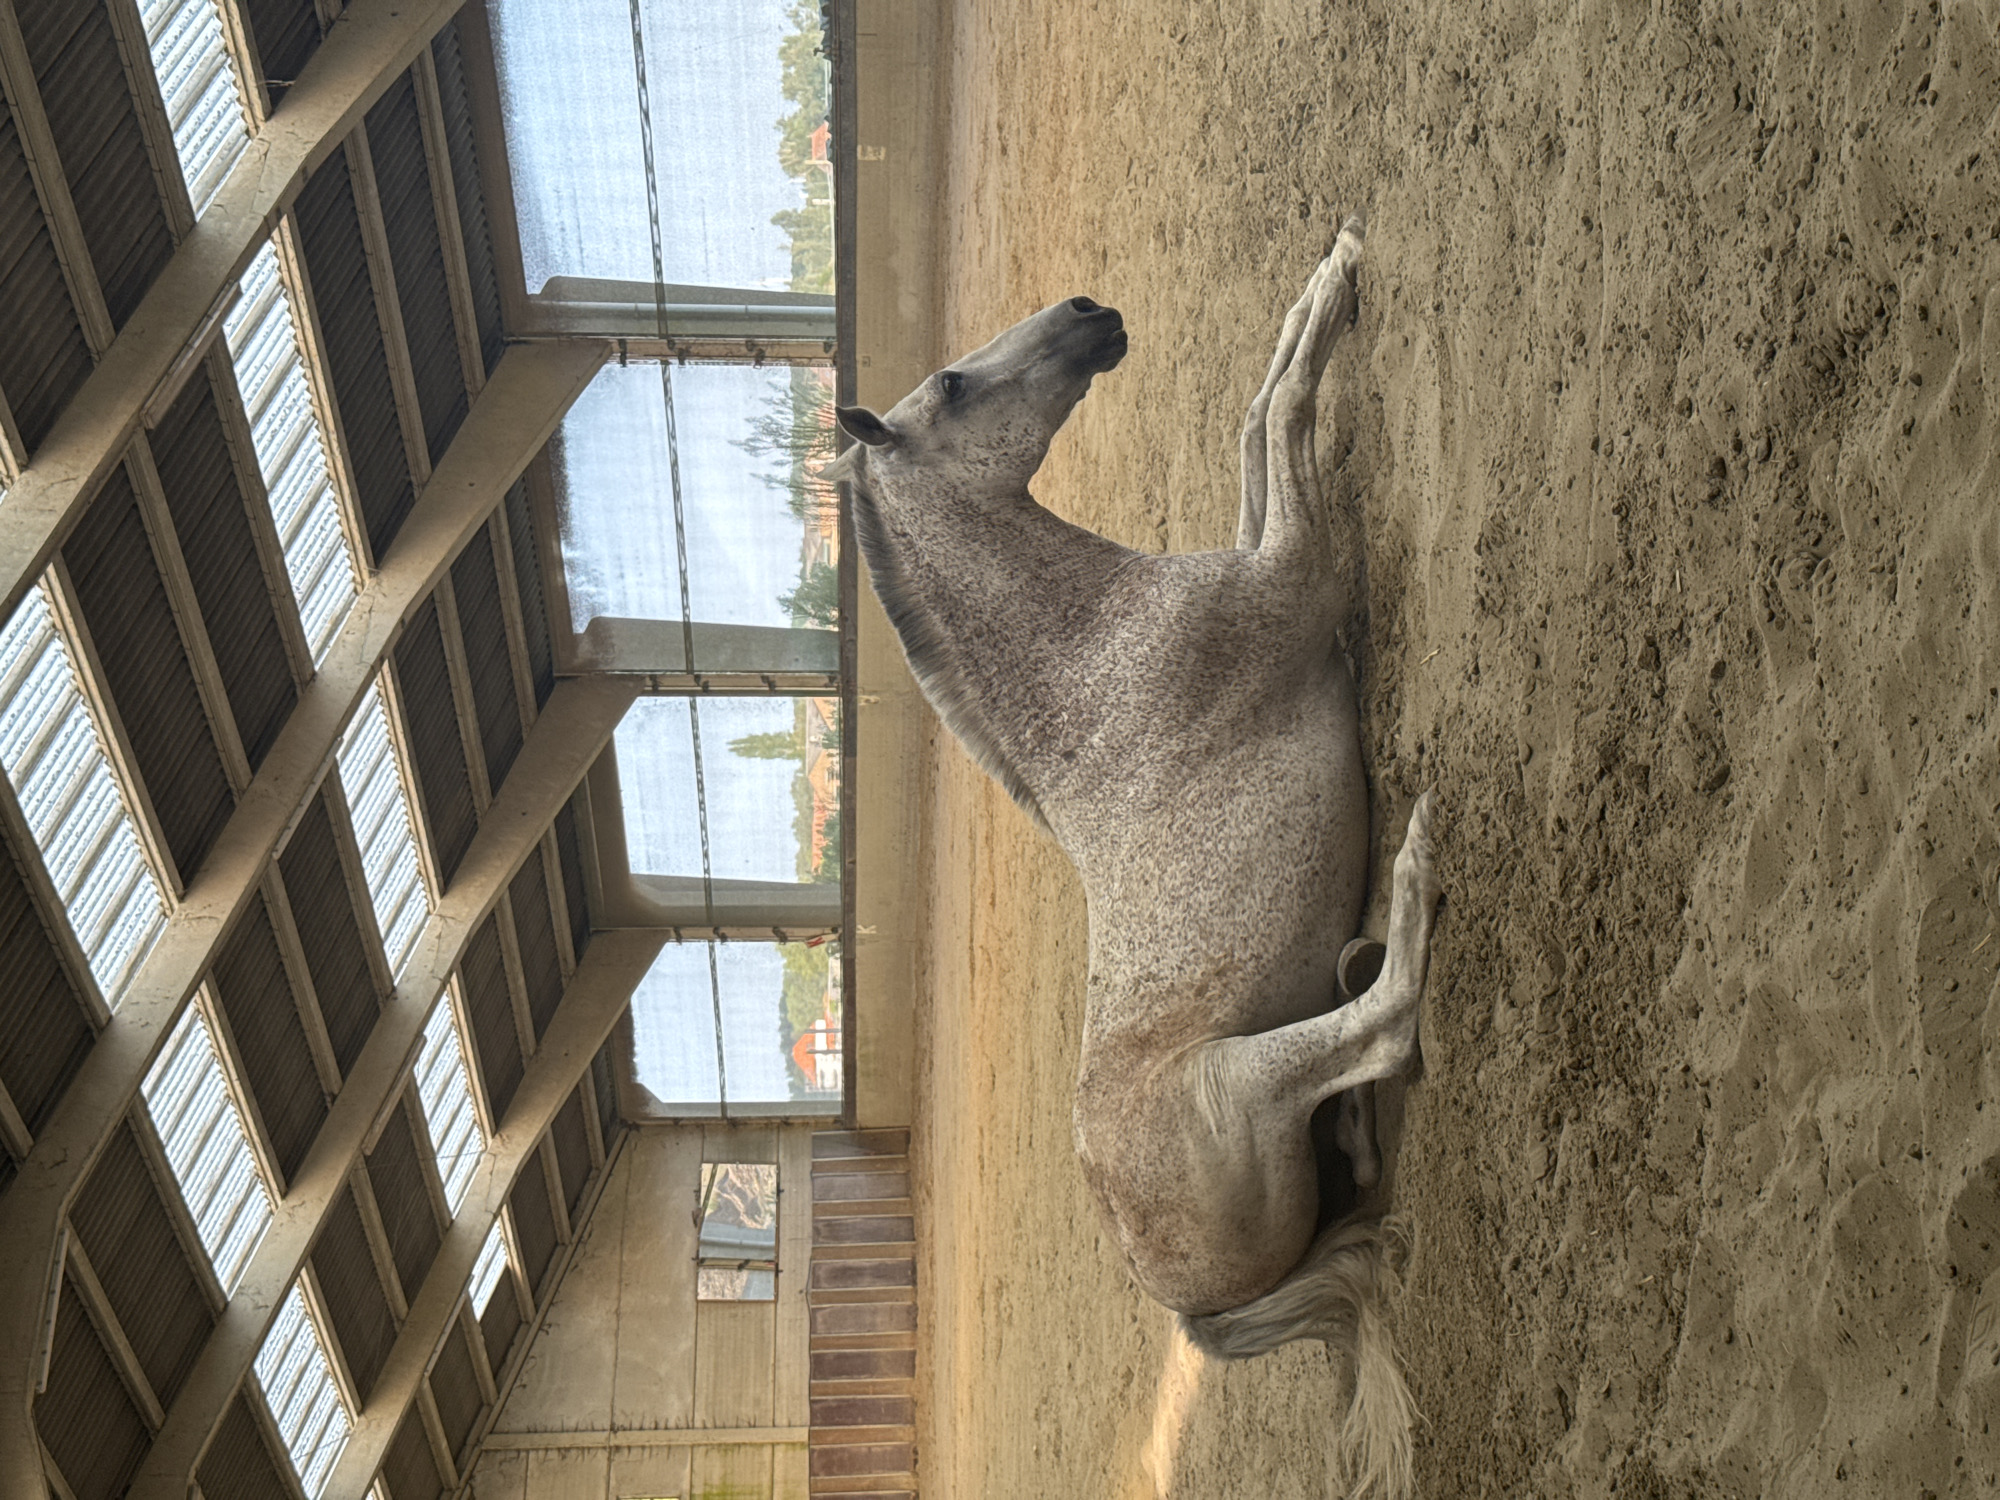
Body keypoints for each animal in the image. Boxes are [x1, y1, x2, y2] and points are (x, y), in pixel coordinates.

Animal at [823, 218, 1442, 1497]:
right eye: (949, 385)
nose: (1087, 312)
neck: (1101, 650)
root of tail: (1187, 1312)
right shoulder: (1296, 568)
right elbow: (1278, 408)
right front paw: (1335, 279)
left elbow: (1255, 423)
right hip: (1244, 1076)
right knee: (1385, 1022)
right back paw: (1406, 885)